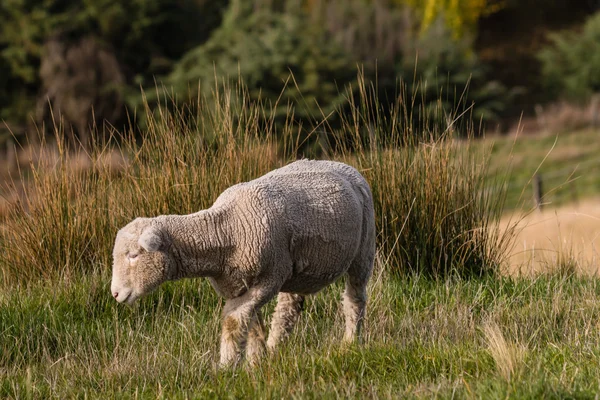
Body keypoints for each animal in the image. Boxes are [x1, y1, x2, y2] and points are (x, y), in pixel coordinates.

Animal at [111, 159, 376, 366]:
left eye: (133, 255)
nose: (114, 293)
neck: (226, 228)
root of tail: (344, 165)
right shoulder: (239, 286)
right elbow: (252, 326)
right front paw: (256, 362)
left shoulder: (268, 279)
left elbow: (232, 322)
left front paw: (227, 368)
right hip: (295, 268)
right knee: (287, 309)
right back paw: (275, 349)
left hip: (363, 251)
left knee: (354, 299)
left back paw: (350, 343)